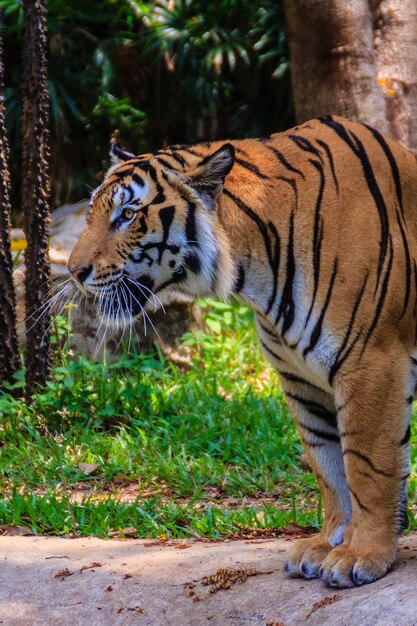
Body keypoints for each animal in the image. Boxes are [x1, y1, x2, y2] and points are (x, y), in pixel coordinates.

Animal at [67, 116, 416, 584]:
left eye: (127, 215)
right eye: (90, 213)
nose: (74, 272)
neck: (256, 271)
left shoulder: (370, 363)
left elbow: (367, 466)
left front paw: (364, 554)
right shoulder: (302, 378)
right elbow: (329, 467)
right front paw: (327, 544)